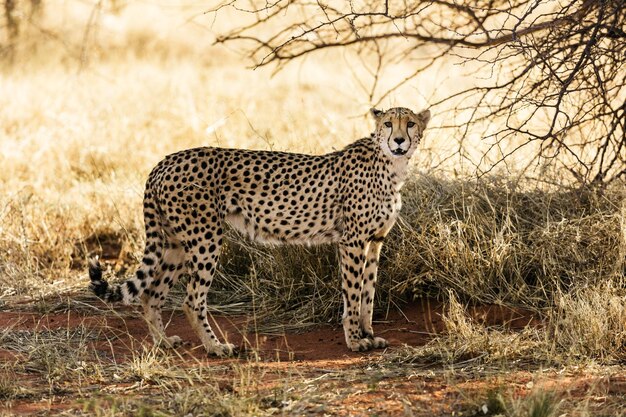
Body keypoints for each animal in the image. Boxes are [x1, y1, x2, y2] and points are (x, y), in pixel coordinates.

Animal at [88, 106, 428, 354]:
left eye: (410, 123)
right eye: (388, 124)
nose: (399, 141)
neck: (391, 166)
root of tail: (165, 161)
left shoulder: (375, 240)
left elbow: (368, 291)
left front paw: (369, 334)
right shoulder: (353, 241)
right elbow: (354, 293)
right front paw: (356, 340)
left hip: (174, 242)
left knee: (151, 292)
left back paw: (163, 342)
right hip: (205, 238)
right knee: (190, 299)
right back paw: (216, 347)